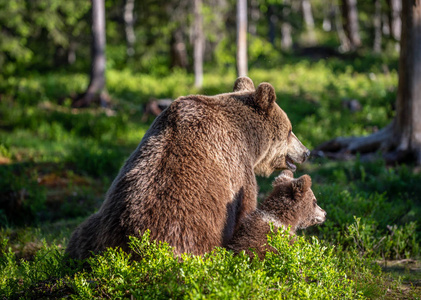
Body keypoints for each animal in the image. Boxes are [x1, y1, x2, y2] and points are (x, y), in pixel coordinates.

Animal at [66, 77, 308, 258]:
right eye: (290, 130)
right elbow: (245, 211)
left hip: (96, 228)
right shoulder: (237, 169)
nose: (306, 152)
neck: (249, 139)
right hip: (188, 230)